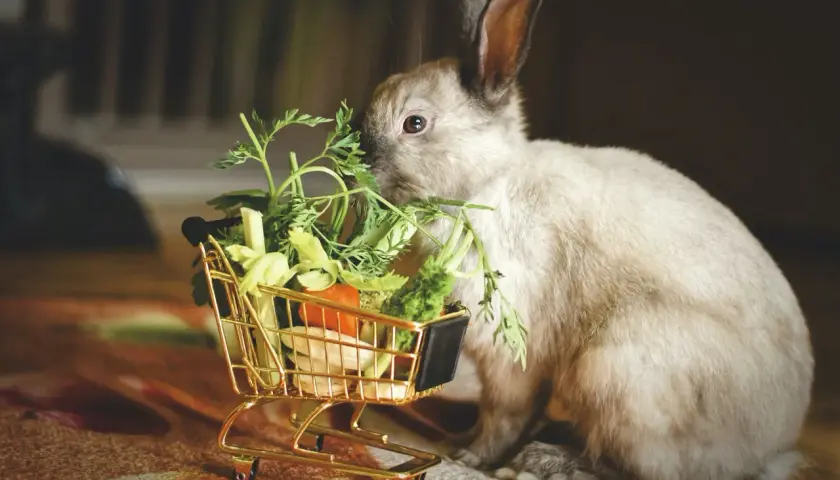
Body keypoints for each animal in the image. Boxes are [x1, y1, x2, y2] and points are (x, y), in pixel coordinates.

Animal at [353, 0, 815, 478]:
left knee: (635, 467)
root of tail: (768, 452)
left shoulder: (513, 357)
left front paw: (470, 456)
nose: (357, 165)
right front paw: (459, 440)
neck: (485, 185)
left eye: (415, 123)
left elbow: (502, 413)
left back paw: (544, 460)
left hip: (615, 372)